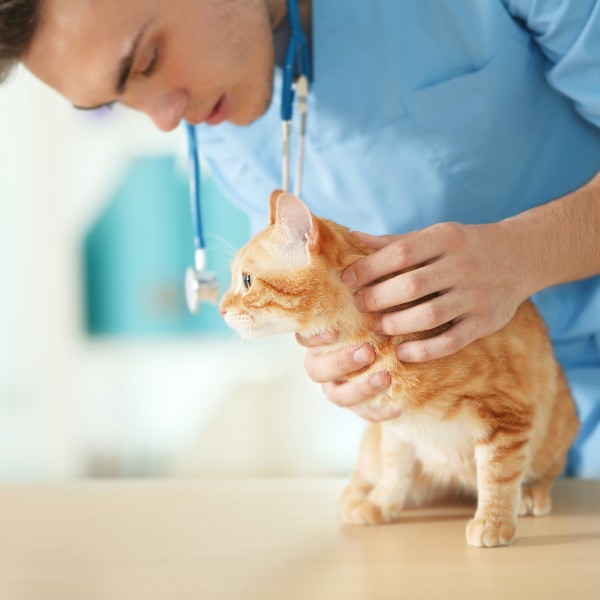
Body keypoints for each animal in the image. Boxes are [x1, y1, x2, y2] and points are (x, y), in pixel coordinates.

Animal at [219, 190, 576, 548]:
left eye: (247, 281)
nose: (221, 309)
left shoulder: (507, 412)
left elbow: (498, 473)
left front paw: (493, 520)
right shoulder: (396, 425)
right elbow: (395, 470)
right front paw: (381, 503)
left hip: (557, 428)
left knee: (545, 469)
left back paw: (532, 493)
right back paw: (356, 496)